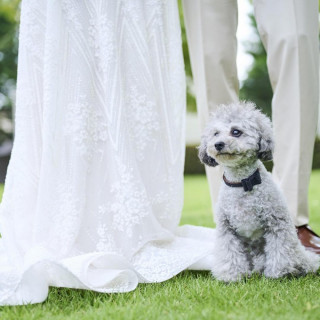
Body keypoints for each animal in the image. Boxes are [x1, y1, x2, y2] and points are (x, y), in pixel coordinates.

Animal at [199, 101, 318, 282]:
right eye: (215, 133)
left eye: (236, 131)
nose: (218, 144)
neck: (242, 182)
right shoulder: (226, 230)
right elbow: (229, 253)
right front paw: (232, 276)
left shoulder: (277, 224)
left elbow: (280, 250)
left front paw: (278, 273)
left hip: (297, 252)